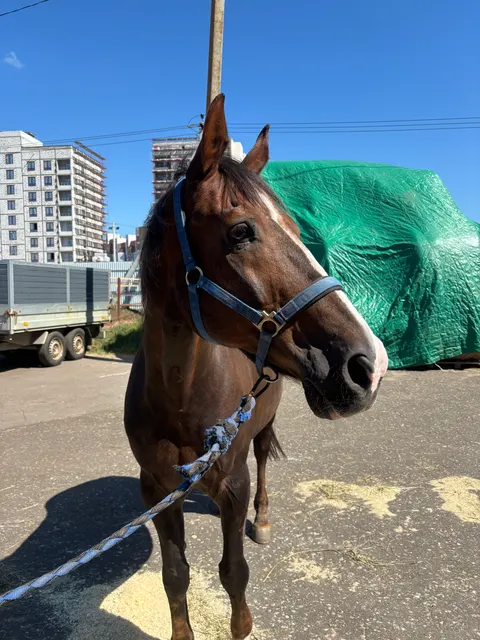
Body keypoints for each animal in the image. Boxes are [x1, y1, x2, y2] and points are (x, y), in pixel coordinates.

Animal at [124, 94, 388, 640]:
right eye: (241, 231)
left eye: (297, 230)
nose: (369, 364)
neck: (179, 401)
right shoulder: (156, 489)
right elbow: (175, 575)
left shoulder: (234, 483)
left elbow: (234, 574)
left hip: (262, 429)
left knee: (265, 458)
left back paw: (263, 520)